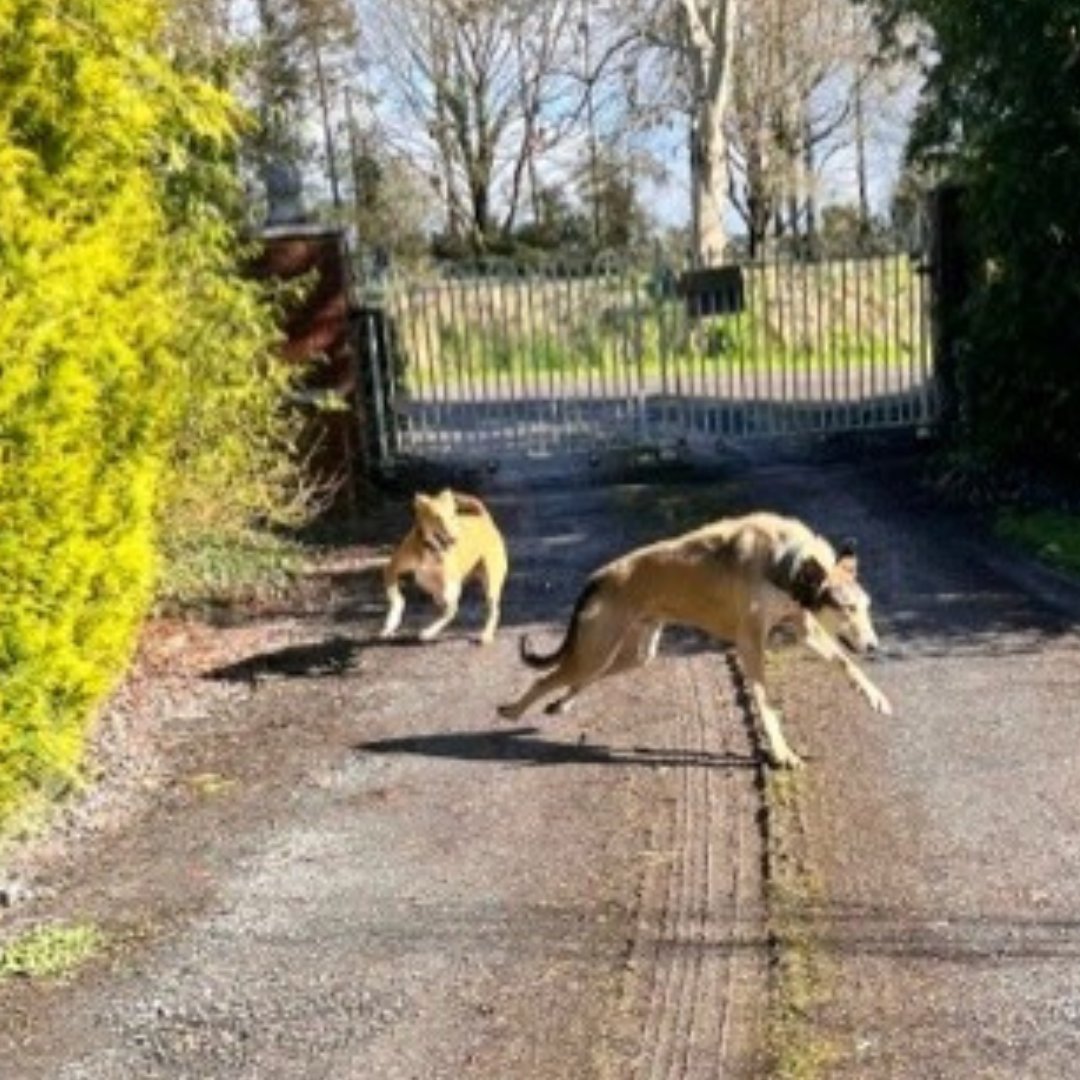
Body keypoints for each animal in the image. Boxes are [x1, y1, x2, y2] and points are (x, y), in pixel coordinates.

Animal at [382, 490, 507, 639]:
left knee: (491, 610)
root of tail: (484, 519)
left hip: (490, 583)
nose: (454, 539)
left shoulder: (451, 584)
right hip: (428, 583)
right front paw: (391, 624)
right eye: (438, 518)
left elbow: (450, 609)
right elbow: (397, 599)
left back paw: (485, 634)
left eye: (453, 516)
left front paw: (428, 631)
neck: (430, 549)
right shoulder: (391, 568)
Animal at [496, 507, 894, 768]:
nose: (874, 646)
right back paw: (513, 710)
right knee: (547, 678)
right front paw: (781, 752)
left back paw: (560, 703)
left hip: (633, 654)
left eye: (866, 606)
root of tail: (599, 577)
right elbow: (765, 702)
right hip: (598, 650)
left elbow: (845, 663)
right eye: (846, 608)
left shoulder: (803, 627)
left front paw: (875, 696)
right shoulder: (751, 644)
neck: (787, 562)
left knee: (581, 678)